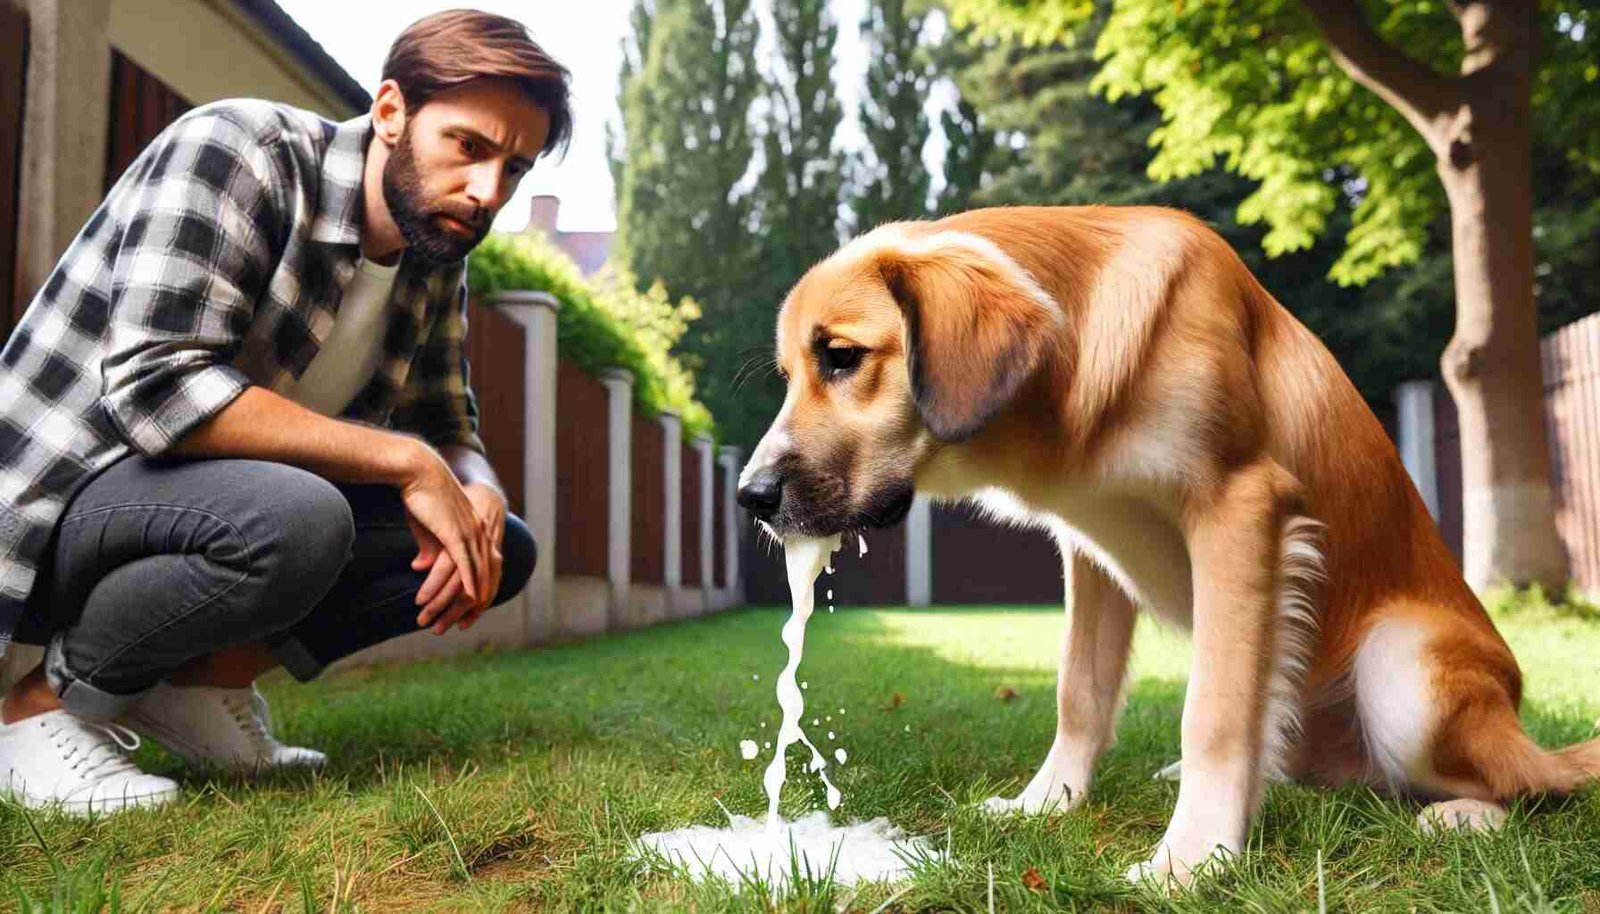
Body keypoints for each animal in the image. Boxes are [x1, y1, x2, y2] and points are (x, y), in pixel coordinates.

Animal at [736, 208, 1600, 889]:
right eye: (791, 371)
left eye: (842, 357)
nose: (750, 496)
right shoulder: (1089, 554)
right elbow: (1079, 693)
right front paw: (1045, 805)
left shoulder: (1241, 511)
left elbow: (1214, 710)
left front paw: (1195, 856)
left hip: (1404, 671)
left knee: (1526, 786)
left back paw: (1463, 815)